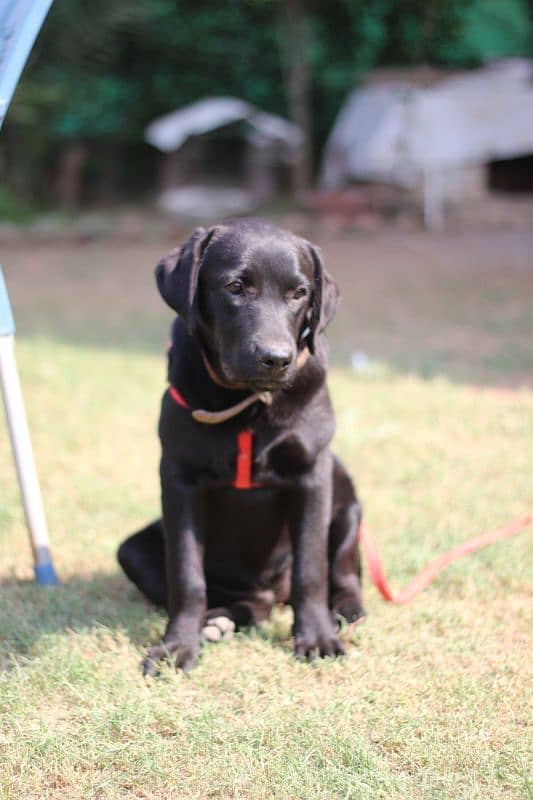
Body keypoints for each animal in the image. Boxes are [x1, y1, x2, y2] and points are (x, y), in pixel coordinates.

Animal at [118, 216, 364, 672]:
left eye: (299, 293)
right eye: (235, 287)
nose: (276, 358)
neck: (251, 404)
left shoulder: (312, 474)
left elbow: (311, 570)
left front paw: (318, 638)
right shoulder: (179, 479)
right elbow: (186, 575)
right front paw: (177, 646)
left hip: (347, 501)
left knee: (340, 569)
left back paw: (346, 608)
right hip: (133, 551)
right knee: (245, 604)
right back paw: (220, 621)